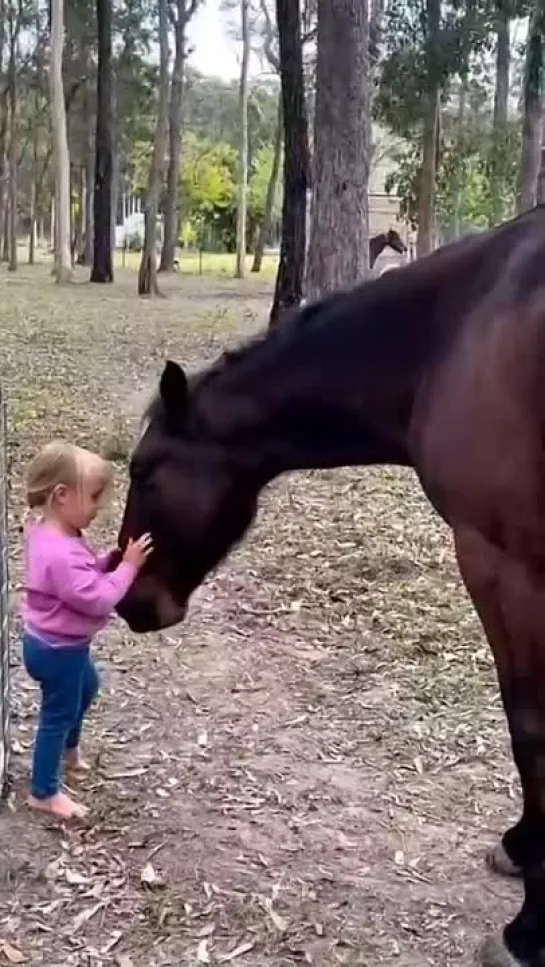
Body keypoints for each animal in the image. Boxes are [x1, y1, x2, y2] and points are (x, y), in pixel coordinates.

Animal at [117, 208, 545, 964]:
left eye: (144, 471)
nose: (128, 599)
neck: (450, 332)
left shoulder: (503, 561)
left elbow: (528, 723)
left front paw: (529, 927)